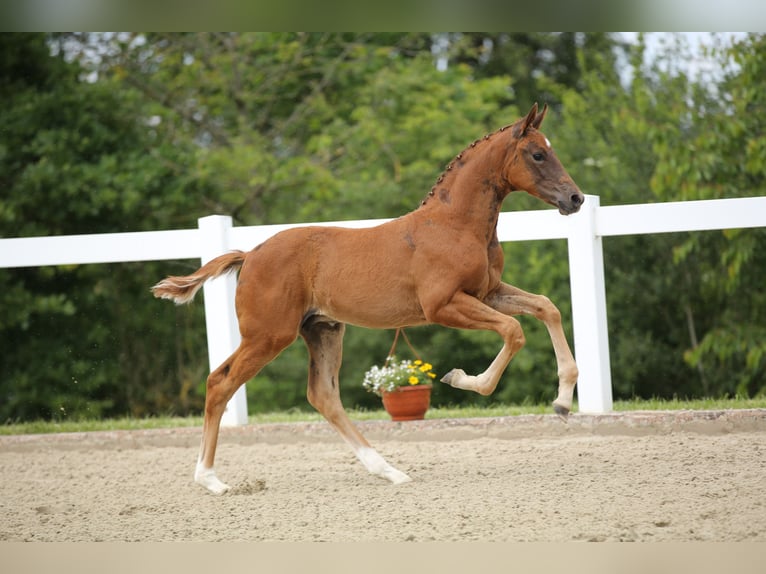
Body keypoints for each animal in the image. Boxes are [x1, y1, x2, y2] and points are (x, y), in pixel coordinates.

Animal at [153, 103, 584, 496]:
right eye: (538, 154)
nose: (576, 198)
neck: (454, 226)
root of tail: (250, 254)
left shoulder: (488, 293)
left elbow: (546, 307)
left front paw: (563, 402)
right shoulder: (444, 306)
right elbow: (513, 331)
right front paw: (462, 378)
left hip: (323, 329)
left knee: (323, 396)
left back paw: (389, 471)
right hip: (268, 336)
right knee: (220, 383)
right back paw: (210, 480)